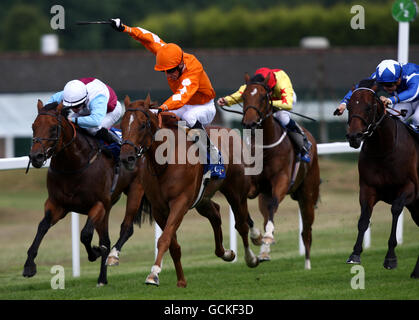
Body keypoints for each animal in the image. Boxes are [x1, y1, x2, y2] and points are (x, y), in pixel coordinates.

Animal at [24, 100, 148, 284]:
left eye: (53, 128)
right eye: (33, 126)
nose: (36, 157)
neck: (74, 164)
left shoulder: (99, 204)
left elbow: (85, 234)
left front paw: (95, 252)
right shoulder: (57, 204)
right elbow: (42, 227)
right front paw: (29, 265)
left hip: (135, 190)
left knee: (126, 229)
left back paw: (112, 257)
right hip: (109, 207)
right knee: (106, 239)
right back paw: (102, 278)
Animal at [120, 95, 260, 288]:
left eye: (142, 125)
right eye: (121, 125)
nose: (126, 157)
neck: (164, 162)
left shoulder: (180, 202)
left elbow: (164, 239)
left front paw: (153, 274)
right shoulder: (159, 209)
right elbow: (173, 244)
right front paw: (180, 280)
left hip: (236, 192)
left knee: (241, 224)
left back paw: (250, 257)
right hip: (202, 198)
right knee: (215, 213)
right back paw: (225, 253)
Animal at [240, 72, 322, 268]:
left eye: (263, 97)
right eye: (244, 96)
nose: (250, 123)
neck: (266, 147)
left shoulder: (282, 181)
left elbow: (274, 205)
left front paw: (267, 237)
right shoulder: (254, 186)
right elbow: (245, 207)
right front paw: (256, 236)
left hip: (308, 195)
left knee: (306, 231)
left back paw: (307, 265)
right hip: (265, 195)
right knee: (266, 214)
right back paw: (264, 252)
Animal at [344, 80, 419, 278]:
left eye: (369, 107)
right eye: (349, 106)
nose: (354, 137)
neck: (383, 150)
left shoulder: (409, 188)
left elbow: (395, 209)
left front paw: (390, 258)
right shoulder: (368, 188)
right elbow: (364, 219)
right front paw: (355, 254)